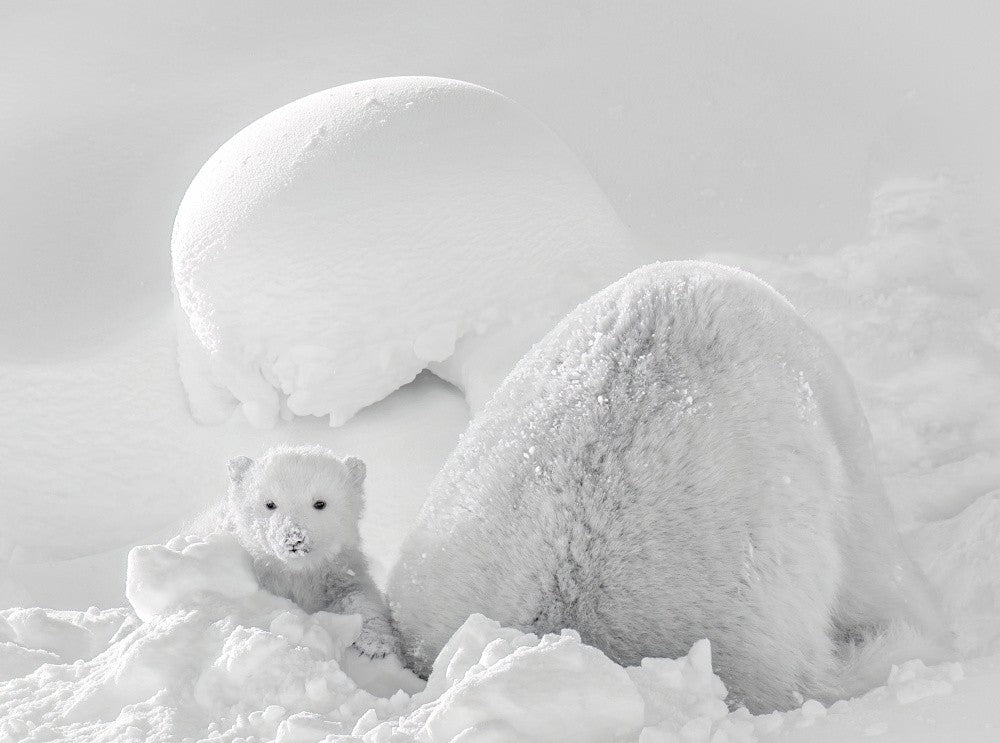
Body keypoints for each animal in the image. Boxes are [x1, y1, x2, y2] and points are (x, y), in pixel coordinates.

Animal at [224, 445, 398, 659]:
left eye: (320, 503)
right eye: (270, 504)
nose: (293, 538)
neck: (298, 570)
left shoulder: (339, 566)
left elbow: (358, 592)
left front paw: (376, 642)